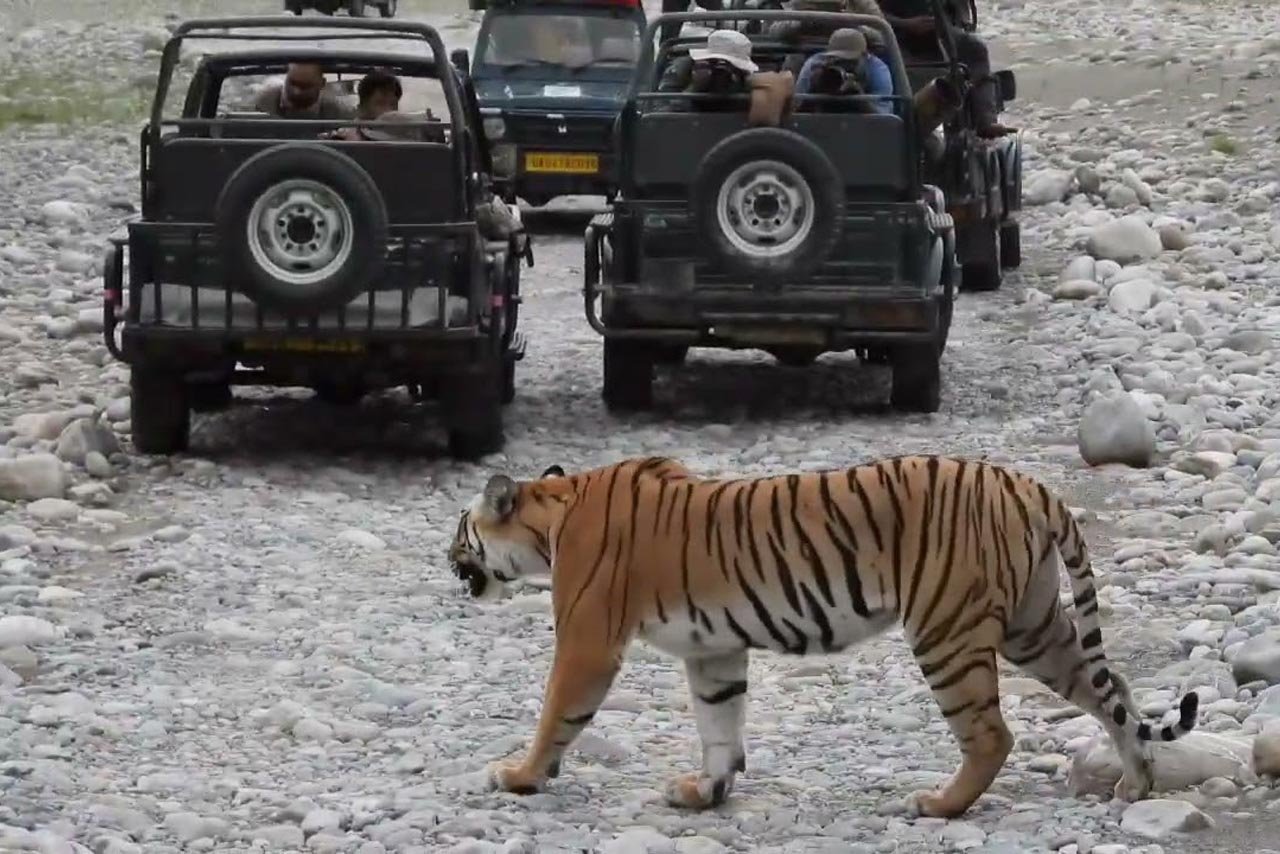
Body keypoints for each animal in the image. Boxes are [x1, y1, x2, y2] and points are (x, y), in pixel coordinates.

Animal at [447, 454, 1199, 819]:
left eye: (461, 530)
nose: (447, 559)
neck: (553, 516)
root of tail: (1025, 483)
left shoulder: (588, 638)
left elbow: (556, 713)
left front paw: (519, 775)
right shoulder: (713, 649)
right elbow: (719, 722)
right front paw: (706, 791)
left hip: (946, 631)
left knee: (991, 733)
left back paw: (939, 805)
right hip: (1031, 626)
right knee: (1112, 687)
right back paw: (1137, 781)